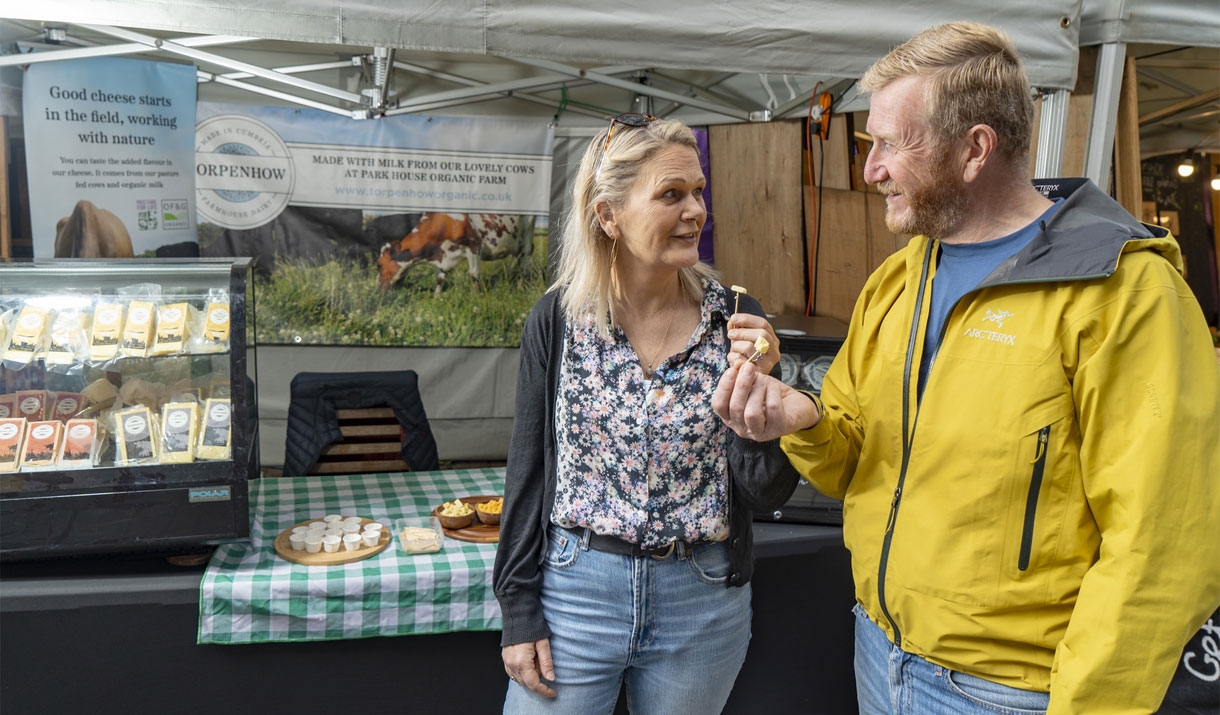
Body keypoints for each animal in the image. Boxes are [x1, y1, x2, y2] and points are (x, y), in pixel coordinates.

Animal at [375, 211, 534, 289]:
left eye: (379, 265)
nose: (377, 287)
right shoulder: (444, 256)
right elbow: (440, 278)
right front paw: (436, 298)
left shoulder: (474, 246)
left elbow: (474, 275)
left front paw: (475, 300)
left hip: (527, 237)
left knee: (525, 266)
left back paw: (520, 288)